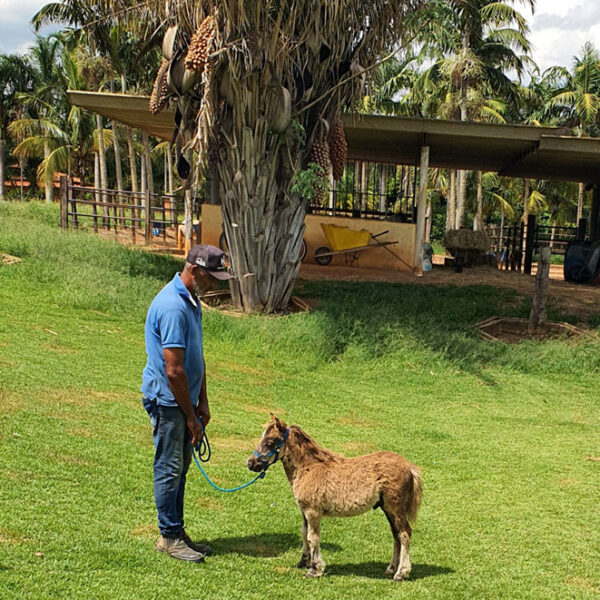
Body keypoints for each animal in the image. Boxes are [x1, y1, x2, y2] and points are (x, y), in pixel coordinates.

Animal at [247, 414, 422, 580]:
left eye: (270, 442)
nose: (251, 463)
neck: (308, 468)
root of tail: (409, 467)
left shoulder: (313, 512)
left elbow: (313, 537)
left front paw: (314, 569)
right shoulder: (304, 511)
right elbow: (304, 533)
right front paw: (304, 561)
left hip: (395, 508)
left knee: (404, 534)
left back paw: (401, 573)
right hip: (387, 508)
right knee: (396, 535)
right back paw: (391, 568)